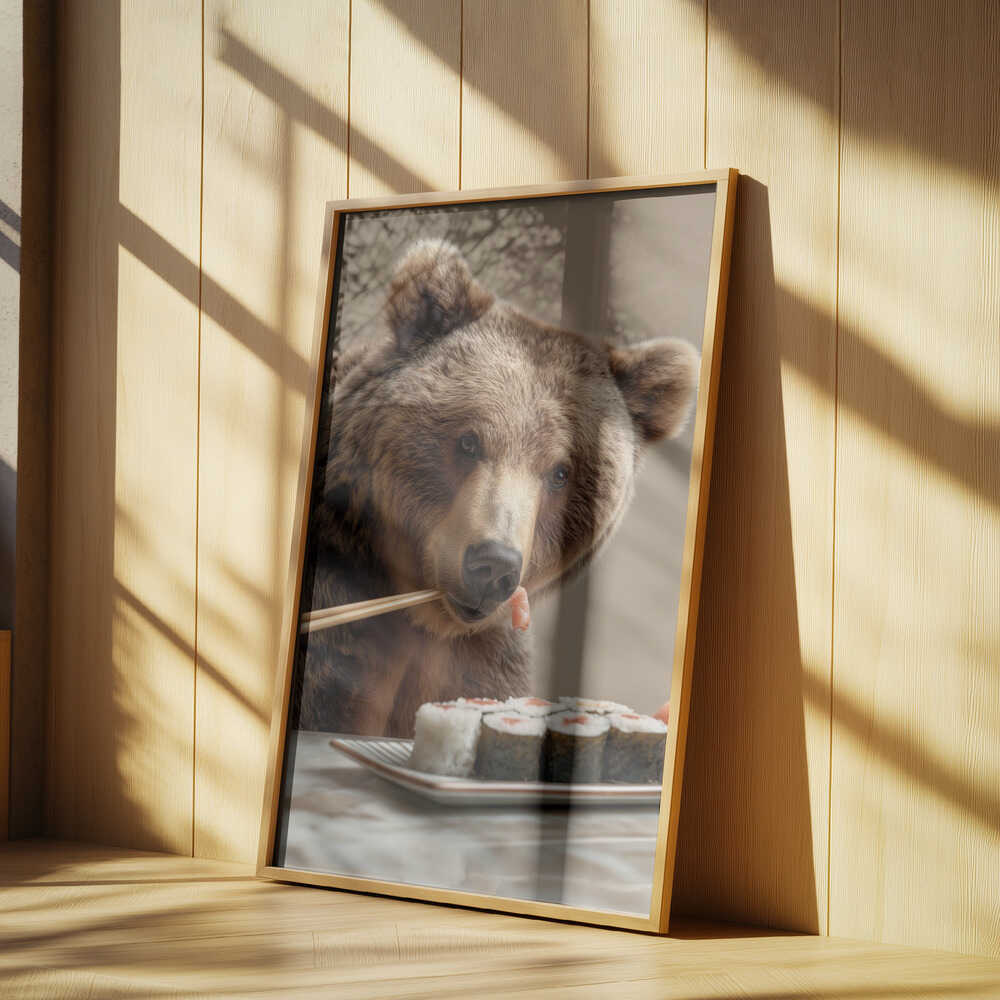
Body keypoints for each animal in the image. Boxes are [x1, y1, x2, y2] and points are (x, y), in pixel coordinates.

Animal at [294, 238, 700, 737]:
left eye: (560, 472)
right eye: (469, 441)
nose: (493, 564)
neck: (425, 620)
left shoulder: (478, 658)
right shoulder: (342, 622)